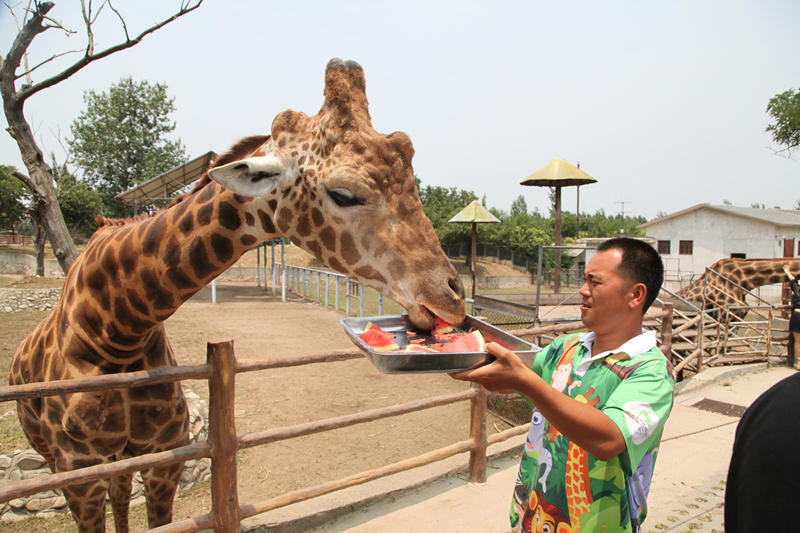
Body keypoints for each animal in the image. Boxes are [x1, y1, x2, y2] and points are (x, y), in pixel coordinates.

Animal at [9, 59, 466, 532]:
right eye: (343, 194)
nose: (451, 297)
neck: (119, 326)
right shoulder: (80, 477)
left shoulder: (164, 461)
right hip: (61, 461)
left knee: (121, 492)